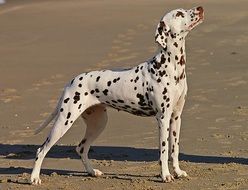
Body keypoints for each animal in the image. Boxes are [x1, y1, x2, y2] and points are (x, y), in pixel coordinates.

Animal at [30, 5, 203, 184]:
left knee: (81, 148)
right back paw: (34, 178)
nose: (200, 8)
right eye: (179, 14)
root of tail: (71, 82)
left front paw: (177, 172)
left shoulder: (176, 117)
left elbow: (174, 149)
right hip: (64, 121)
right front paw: (165, 175)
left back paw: (92, 172)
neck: (171, 66)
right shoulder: (163, 118)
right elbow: (163, 150)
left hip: (98, 123)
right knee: (41, 150)